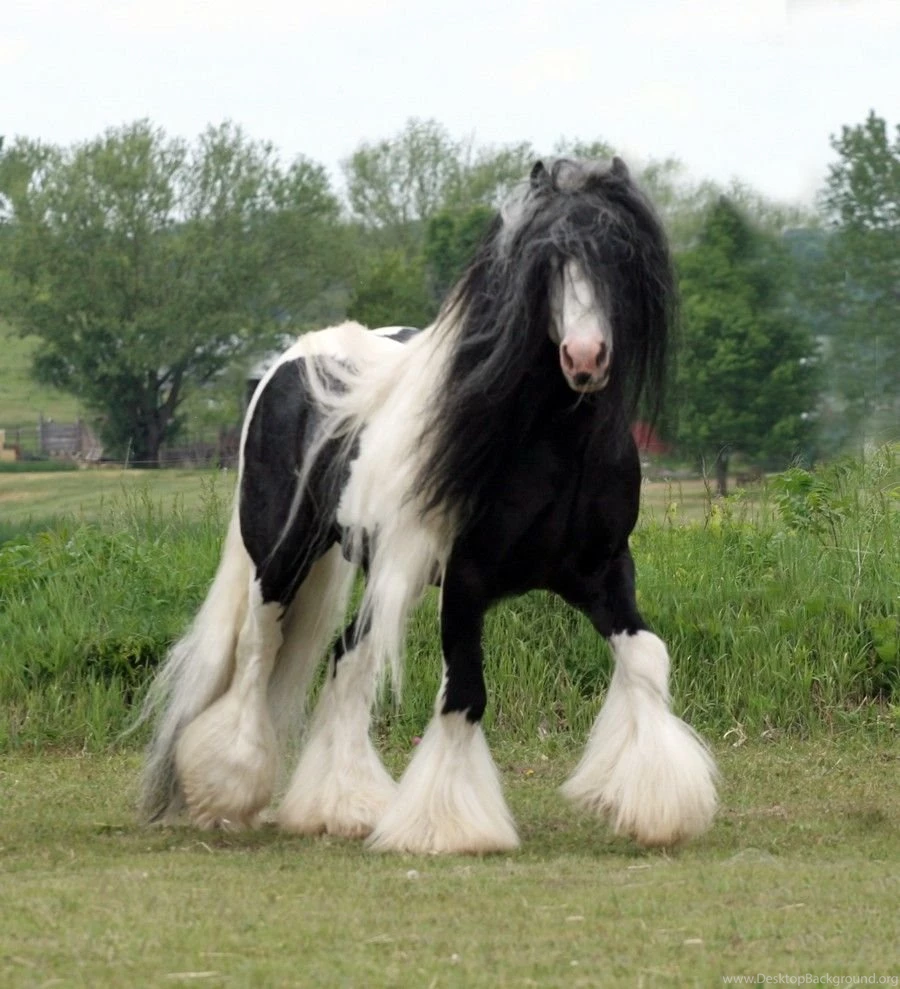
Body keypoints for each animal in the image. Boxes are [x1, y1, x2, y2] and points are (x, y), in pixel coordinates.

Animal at [139, 157, 718, 854]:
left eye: (618, 256)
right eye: (544, 263)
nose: (585, 358)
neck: (550, 445)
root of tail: (290, 360)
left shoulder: (602, 571)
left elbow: (647, 658)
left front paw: (657, 803)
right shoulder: (466, 579)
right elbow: (465, 692)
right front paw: (448, 828)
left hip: (391, 573)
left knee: (347, 658)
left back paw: (341, 807)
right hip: (280, 555)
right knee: (259, 648)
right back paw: (228, 786)